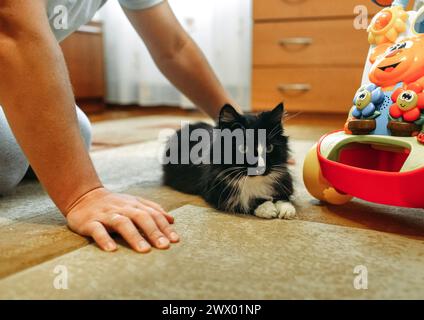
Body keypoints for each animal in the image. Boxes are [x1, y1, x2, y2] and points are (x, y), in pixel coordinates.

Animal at [162, 104, 294, 219]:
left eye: (269, 148)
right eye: (243, 148)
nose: (261, 168)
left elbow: (282, 195)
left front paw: (286, 208)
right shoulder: (218, 191)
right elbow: (245, 198)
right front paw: (267, 207)